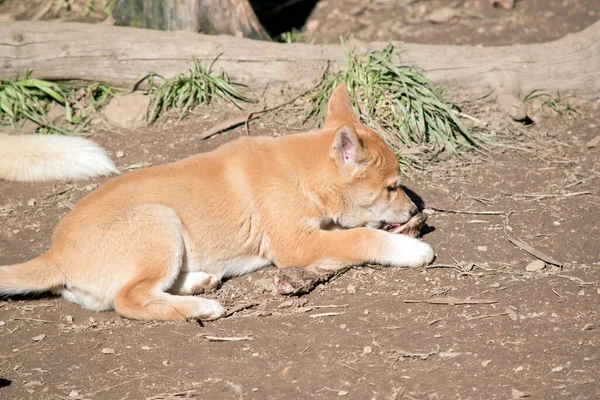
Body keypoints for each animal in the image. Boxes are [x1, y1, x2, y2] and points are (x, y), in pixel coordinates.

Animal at [0, 83, 432, 320]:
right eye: (391, 187)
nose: (415, 211)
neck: (298, 173)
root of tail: (56, 254)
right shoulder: (296, 245)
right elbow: (362, 237)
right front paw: (411, 248)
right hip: (158, 219)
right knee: (129, 299)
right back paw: (202, 308)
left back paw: (198, 281)